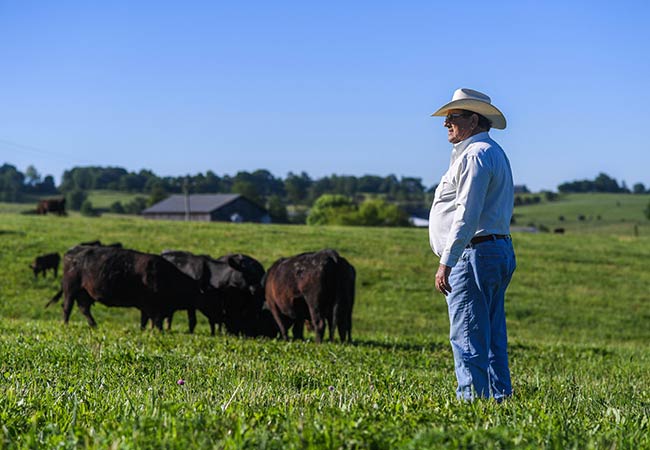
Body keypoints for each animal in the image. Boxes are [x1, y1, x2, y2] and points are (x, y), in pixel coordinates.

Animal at [46, 246, 202, 330]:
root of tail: (72, 251)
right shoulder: (152, 304)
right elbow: (154, 319)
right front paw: (157, 331)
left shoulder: (147, 305)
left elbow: (146, 318)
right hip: (71, 289)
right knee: (67, 307)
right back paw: (66, 324)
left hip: (84, 292)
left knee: (84, 308)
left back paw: (94, 325)